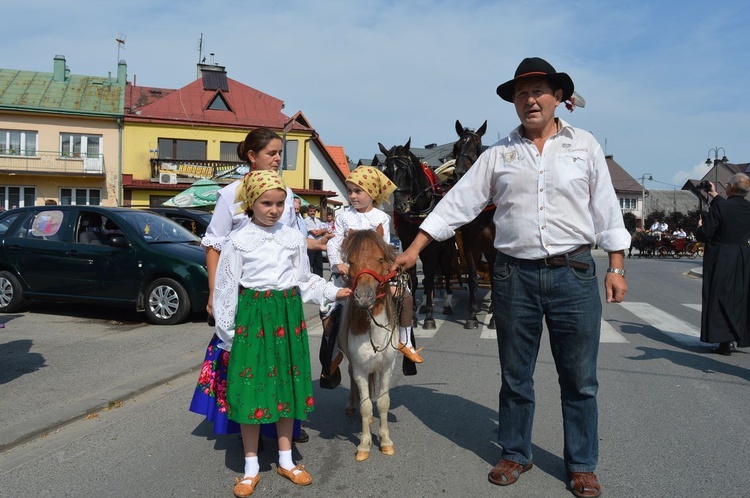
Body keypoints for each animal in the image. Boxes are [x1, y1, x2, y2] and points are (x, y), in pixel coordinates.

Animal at [378, 139, 456, 330]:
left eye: (406, 170)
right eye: (387, 172)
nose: (400, 206)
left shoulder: (433, 248)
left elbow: (429, 279)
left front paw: (429, 318)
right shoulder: (408, 243)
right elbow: (413, 277)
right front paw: (412, 314)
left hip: (447, 250)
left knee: (447, 272)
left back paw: (447, 303)